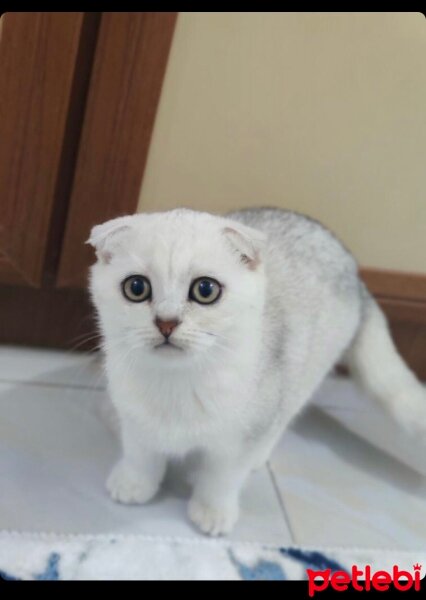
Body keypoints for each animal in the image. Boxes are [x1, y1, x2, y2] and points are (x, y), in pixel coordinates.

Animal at [87, 206, 426, 536]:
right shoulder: (135, 418)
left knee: (284, 416)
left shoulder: (243, 435)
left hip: (304, 372)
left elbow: (223, 477)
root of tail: (358, 276)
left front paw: (213, 511)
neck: (176, 383)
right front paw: (134, 483)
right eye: (136, 287)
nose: (166, 322)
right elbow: (140, 453)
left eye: (205, 289)